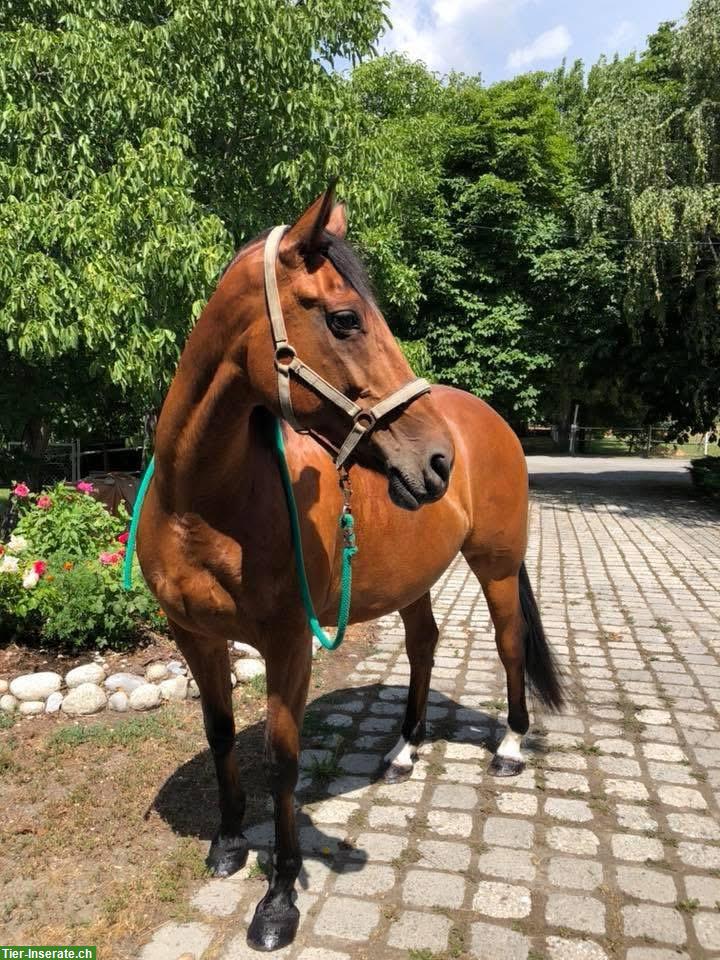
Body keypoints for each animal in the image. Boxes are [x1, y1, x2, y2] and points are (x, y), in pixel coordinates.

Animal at [137, 186, 564, 952]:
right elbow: (219, 733)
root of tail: (487, 419)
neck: (204, 503)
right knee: (423, 644)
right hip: (414, 577)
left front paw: (277, 901)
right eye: (344, 318)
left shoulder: (288, 643)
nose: (436, 461)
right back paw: (403, 752)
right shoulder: (194, 637)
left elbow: (282, 758)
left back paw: (511, 745)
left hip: (497, 567)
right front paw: (227, 844)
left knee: (510, 642)